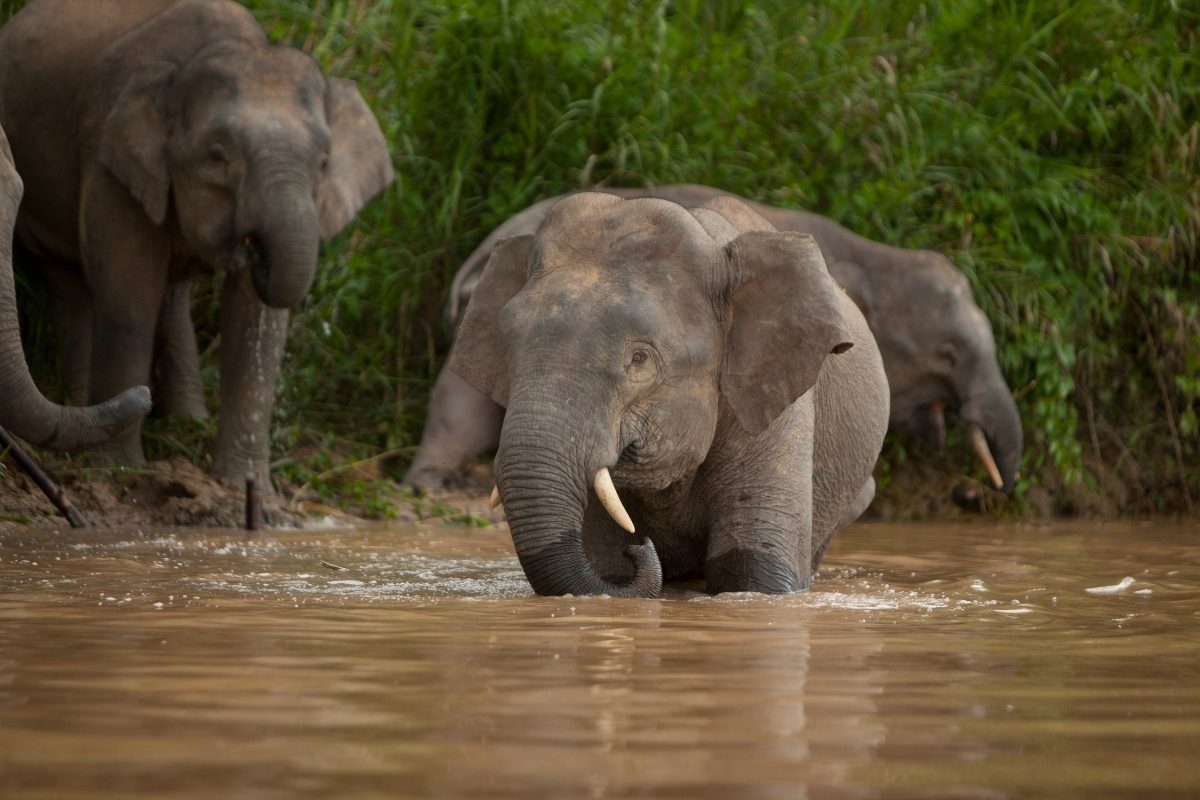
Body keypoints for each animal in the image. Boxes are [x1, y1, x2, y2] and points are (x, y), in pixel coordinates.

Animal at [449, 191, 890, 596]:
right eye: (507, 345)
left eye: (639, 358)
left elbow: (752, 577)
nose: (640, 549)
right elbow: (605, 567)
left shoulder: (774, 400)